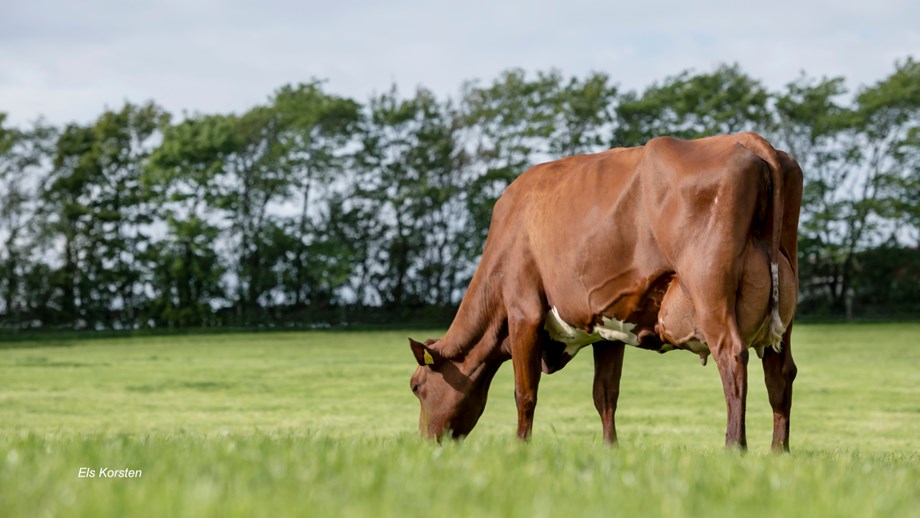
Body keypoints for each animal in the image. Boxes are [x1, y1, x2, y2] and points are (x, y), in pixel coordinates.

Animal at [406, 133, 800, 450]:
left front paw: (520, 447)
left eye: (416, 386)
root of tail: (747, 139)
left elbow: (525, 392)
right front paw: (611, 449)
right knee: (780, 371)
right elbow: (605, 394)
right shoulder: (609, 325)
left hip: (709, 291)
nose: (425, 444)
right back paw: (778, 451)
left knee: (732, 357)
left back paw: (735, 447)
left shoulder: (523, 311)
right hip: (784, 310)